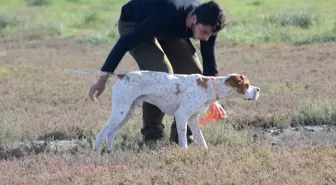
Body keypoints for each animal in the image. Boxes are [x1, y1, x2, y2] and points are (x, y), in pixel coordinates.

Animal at [66, 69, 260, 152]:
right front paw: (184, 153)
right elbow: (183, 140)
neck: (208, 87)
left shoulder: (193, 119)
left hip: (126, 113)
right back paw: (94, 154)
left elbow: (201, 140)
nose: (258, 90)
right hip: (119, 112)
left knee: (110, 134)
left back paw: (110, 152)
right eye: (247, 85)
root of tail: (122, 75)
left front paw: (205, 152)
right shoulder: (181, 117)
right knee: (102, 133)